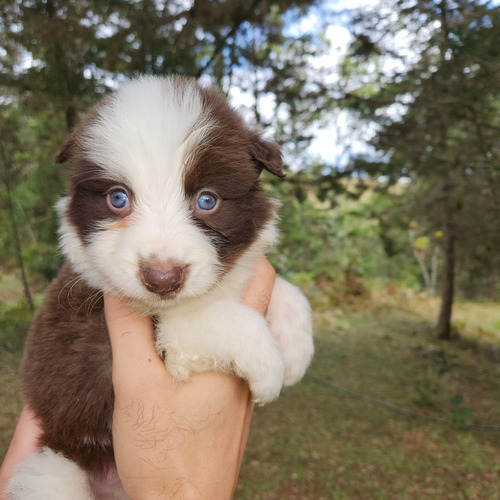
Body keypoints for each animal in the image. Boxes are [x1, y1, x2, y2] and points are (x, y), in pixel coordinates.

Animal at [6, 76, 312, 498]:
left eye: (207, 200)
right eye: (118, 198)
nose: (162, 278)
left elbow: (284, 290)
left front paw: (295, 349)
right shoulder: (123, 338)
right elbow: (219, 319)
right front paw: (270, 369)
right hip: (55, 470)